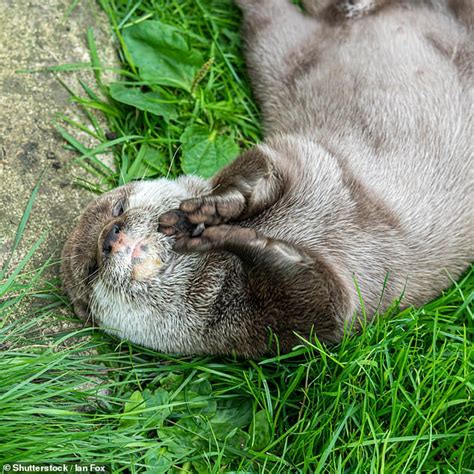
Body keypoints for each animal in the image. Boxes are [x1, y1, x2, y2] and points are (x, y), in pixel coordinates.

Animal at [61, 0, 474, 356]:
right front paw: (235, 236)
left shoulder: (308, 158)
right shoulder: (275, 329)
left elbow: (263, 167)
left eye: (119, 206)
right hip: (276, 47)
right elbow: (324, 298)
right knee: (271, 18)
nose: (110, 236)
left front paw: (217, 209)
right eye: (91, 268)